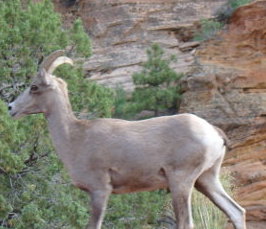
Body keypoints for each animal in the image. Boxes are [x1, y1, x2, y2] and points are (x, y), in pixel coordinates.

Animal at [7, 50, 246, 229]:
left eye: (34, 87)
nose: (10, 108)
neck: (76, 138)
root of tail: (213, 132)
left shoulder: (100, 191)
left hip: (181, 182)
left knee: (187, 223)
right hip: (206, 180)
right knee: (237, 212)